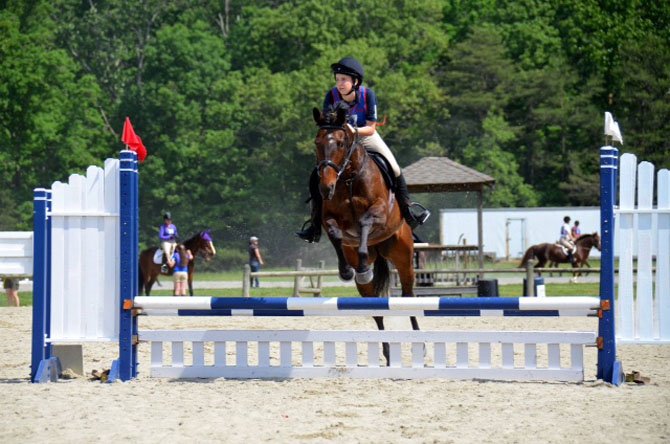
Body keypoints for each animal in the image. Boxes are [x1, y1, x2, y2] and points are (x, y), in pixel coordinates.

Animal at [312, 106, 418, 362]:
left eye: (341, 143)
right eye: (317, 142)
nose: (325, 188)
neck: (349, 177)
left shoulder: (378, 211)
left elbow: (365, 223)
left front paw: (360, 267)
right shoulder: (329, 219)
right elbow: (336, 234)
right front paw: (347, 271)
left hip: (404, 257)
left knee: (410, 297)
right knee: (376, 310)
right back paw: (387, 353)